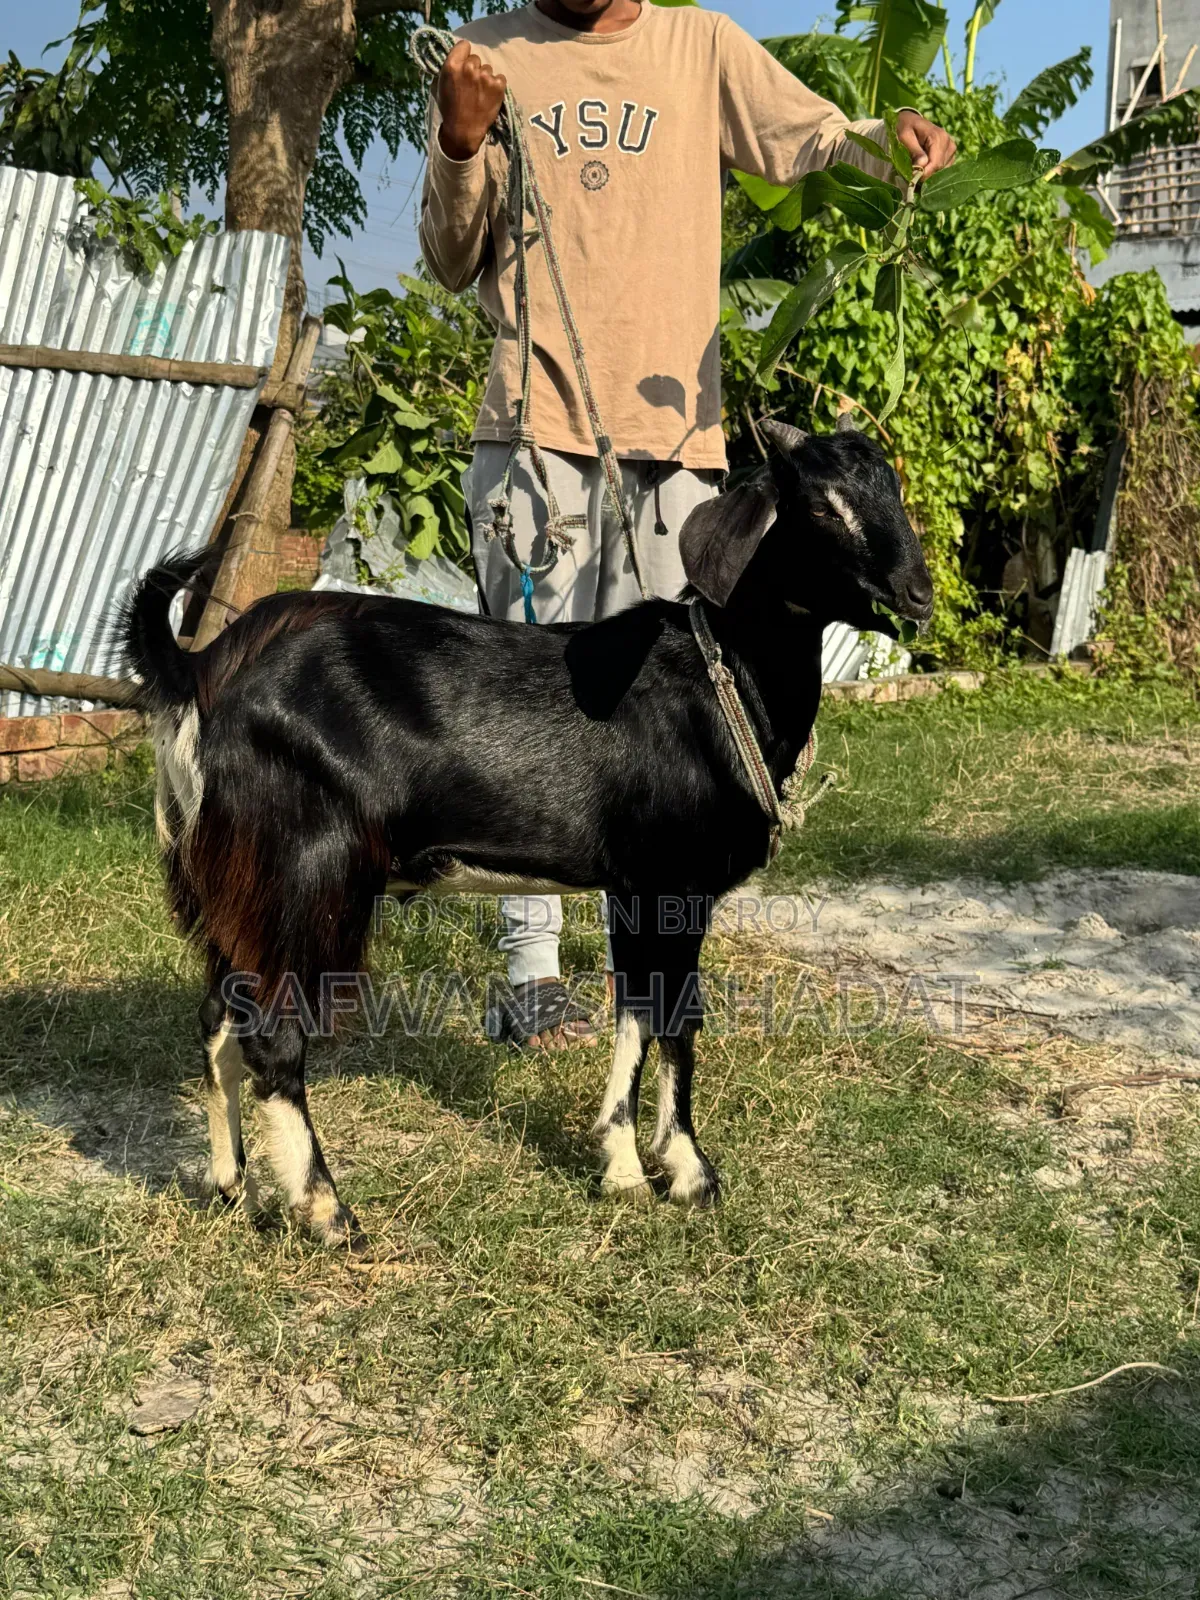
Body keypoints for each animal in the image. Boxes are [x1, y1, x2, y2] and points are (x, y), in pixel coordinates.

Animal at [123, 417, 932, 1245]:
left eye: (891, 489)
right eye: (821, 506)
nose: (917, 594)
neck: (721, 680)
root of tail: (198, 673)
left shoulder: (634, 887)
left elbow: (638, 1013)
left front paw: (623, 1170)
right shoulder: (675, 883)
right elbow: (677, 1018)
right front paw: (690, 1174)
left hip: (234, 883)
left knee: (218, 1018)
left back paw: (232, 1185)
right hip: (305, 869)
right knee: (271, 1033)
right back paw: (326, 1211)